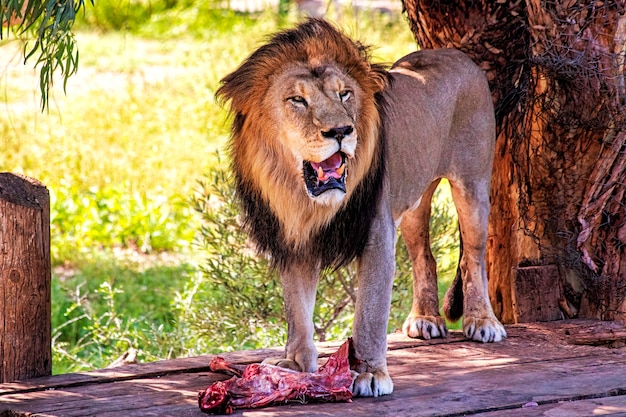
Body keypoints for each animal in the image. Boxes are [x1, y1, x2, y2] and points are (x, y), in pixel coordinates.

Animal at [217, 18, 504, 396]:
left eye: (344, 94)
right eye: (297, 100)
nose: (341, 130)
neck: (303, 200)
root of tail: (454, 53)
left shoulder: (377, 234)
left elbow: (369, 311)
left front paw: (369, 373)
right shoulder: (294, 240)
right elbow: (297, 308)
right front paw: (296, 365)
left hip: (472, 187)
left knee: (474, 256)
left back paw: (483, 321)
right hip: (412, 203)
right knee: (423, 256)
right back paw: (425, 320)